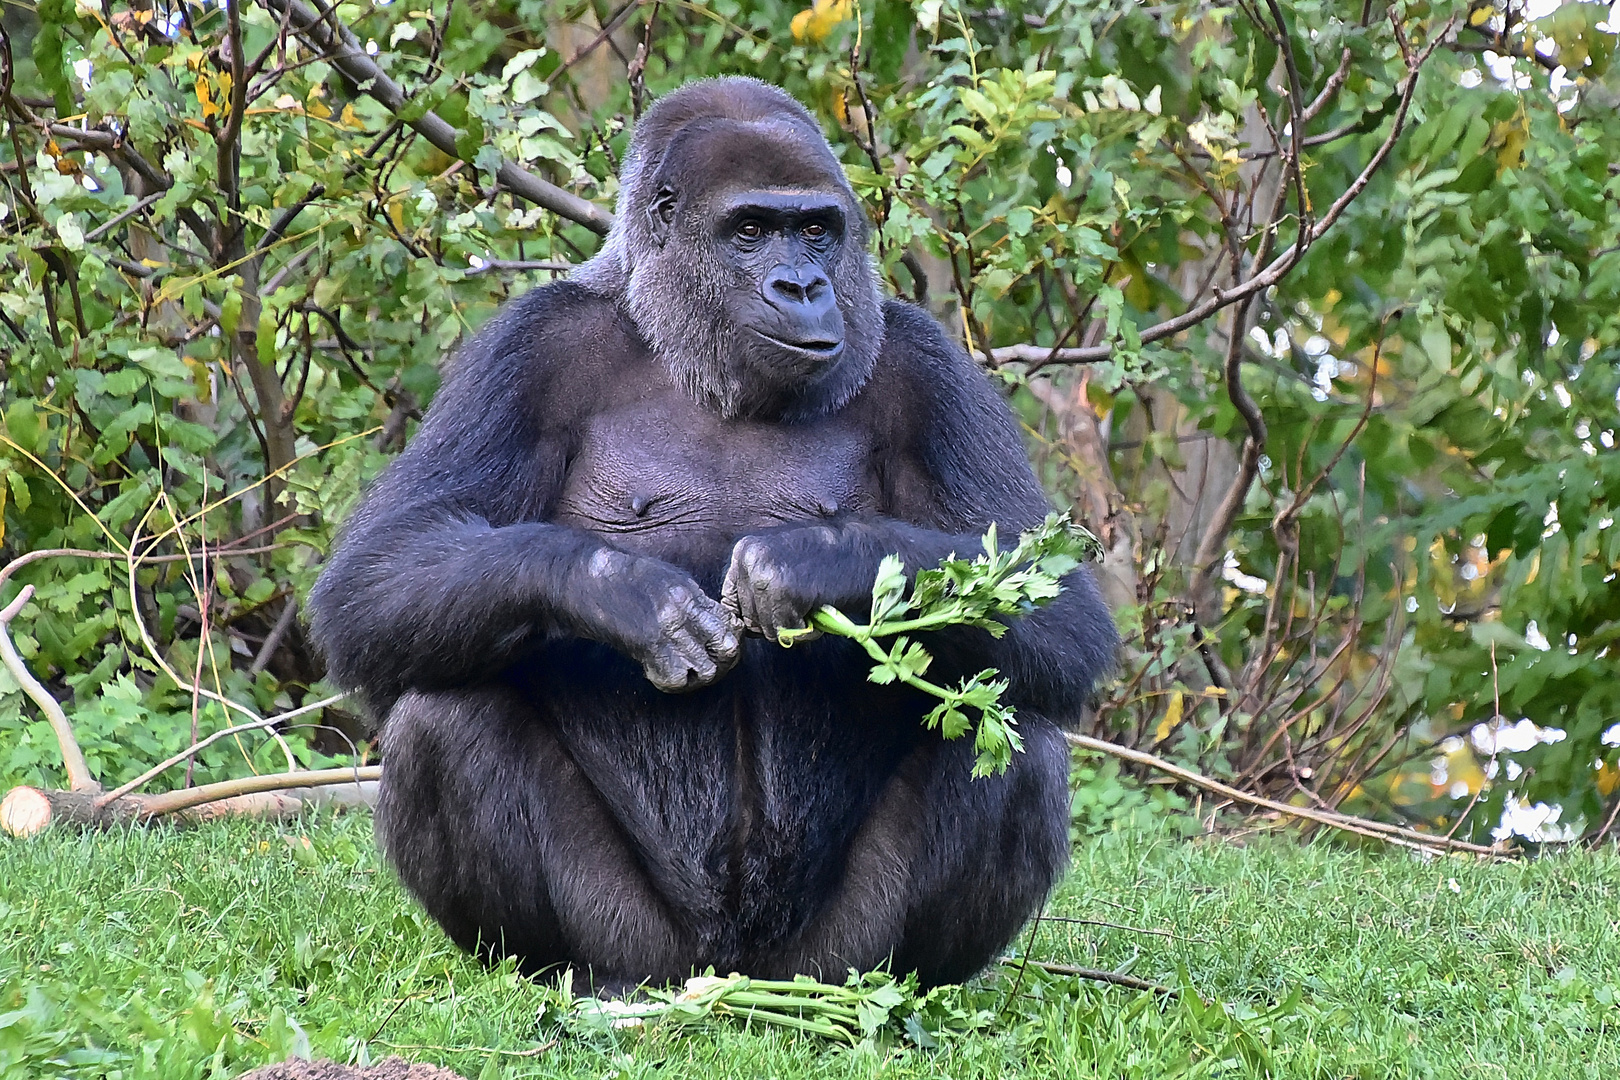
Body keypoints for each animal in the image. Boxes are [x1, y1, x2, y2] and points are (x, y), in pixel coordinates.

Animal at [304, 74, 1114, 990]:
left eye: (817, 229)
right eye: (750, 230)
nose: (802, 287)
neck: (688, 345)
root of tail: (733, 974)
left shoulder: (929, 363)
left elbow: (1055, 605)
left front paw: (818, 564)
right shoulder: (528, 344)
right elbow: (379, 573)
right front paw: (623, 596)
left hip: (827, 952)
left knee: (1011, 726)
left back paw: (900, 989)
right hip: (646, 944)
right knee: (444, 714)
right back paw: (572, 976)